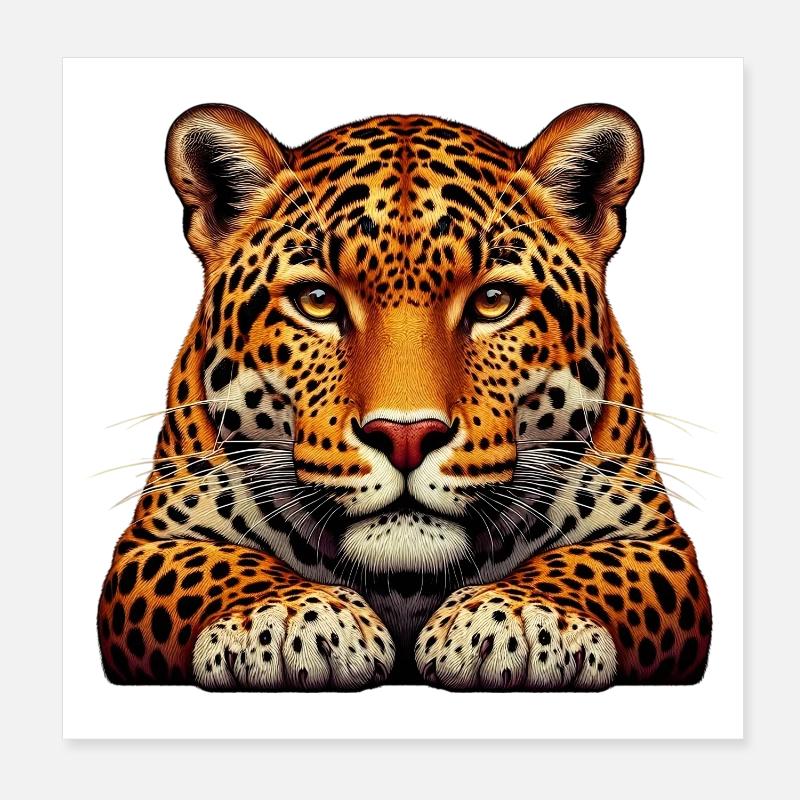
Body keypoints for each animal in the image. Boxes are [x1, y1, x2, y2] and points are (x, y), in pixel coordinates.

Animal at [97, 102, 712, 690]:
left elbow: (592, 564)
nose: (407, 437)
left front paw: (520, 618)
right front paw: (286, 618)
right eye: (318, 300)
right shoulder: (152, 541)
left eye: (493, 300)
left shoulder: (656, 540)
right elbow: (216, 564)